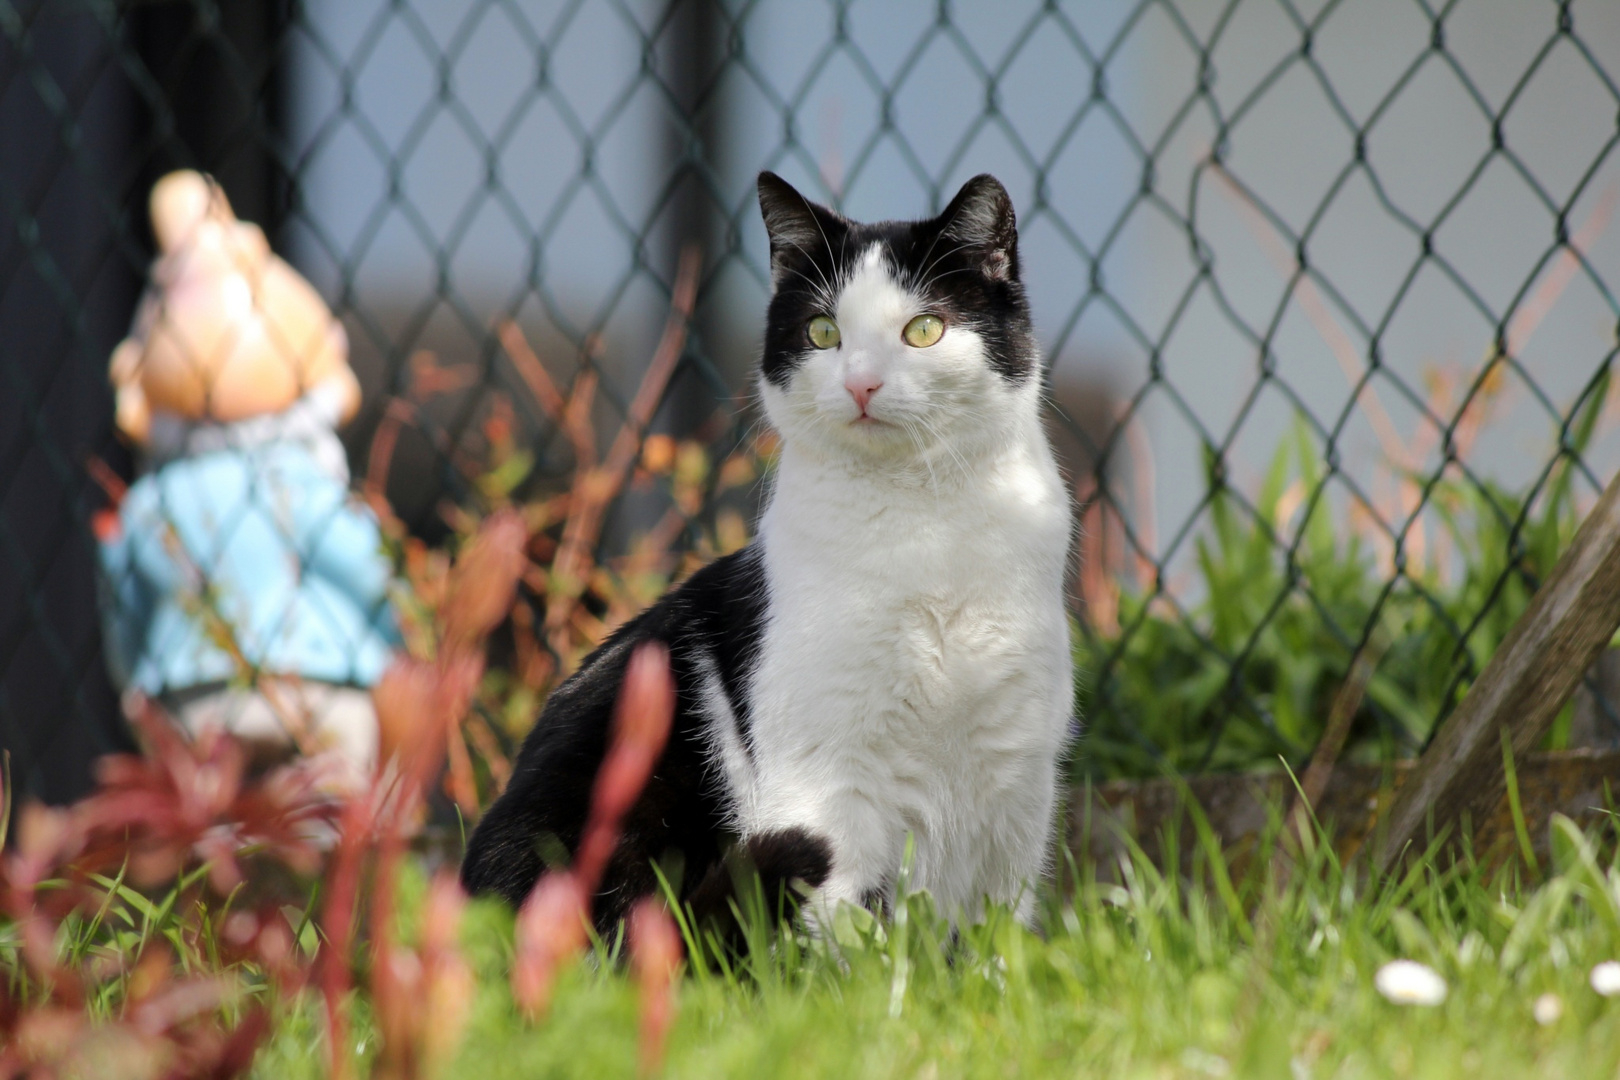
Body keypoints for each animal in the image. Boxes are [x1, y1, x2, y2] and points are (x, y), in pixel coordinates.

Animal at [463, 173, 1075, 932]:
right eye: (823, 331)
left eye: (924, 328)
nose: (861, 383)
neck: (924, 531)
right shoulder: (826, 779)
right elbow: (844, 926)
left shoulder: (1018, 780)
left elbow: (999, 934)